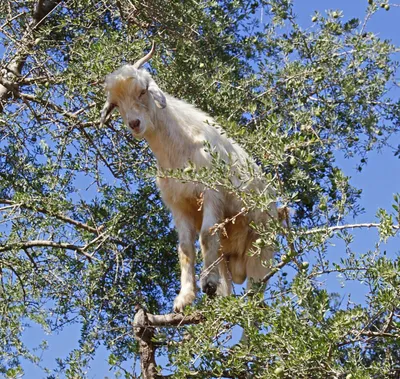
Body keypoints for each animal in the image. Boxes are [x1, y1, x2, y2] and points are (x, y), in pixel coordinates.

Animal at [100, 44, 276, 314]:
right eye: (116, 104)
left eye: (143, 91)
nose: (134, 123)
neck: (179, 150)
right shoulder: (179, 205)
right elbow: (185, 249)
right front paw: (184, 298)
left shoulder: (211, 193)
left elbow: (207, 235)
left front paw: (207, 282)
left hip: (261, 248)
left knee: (255, 295)